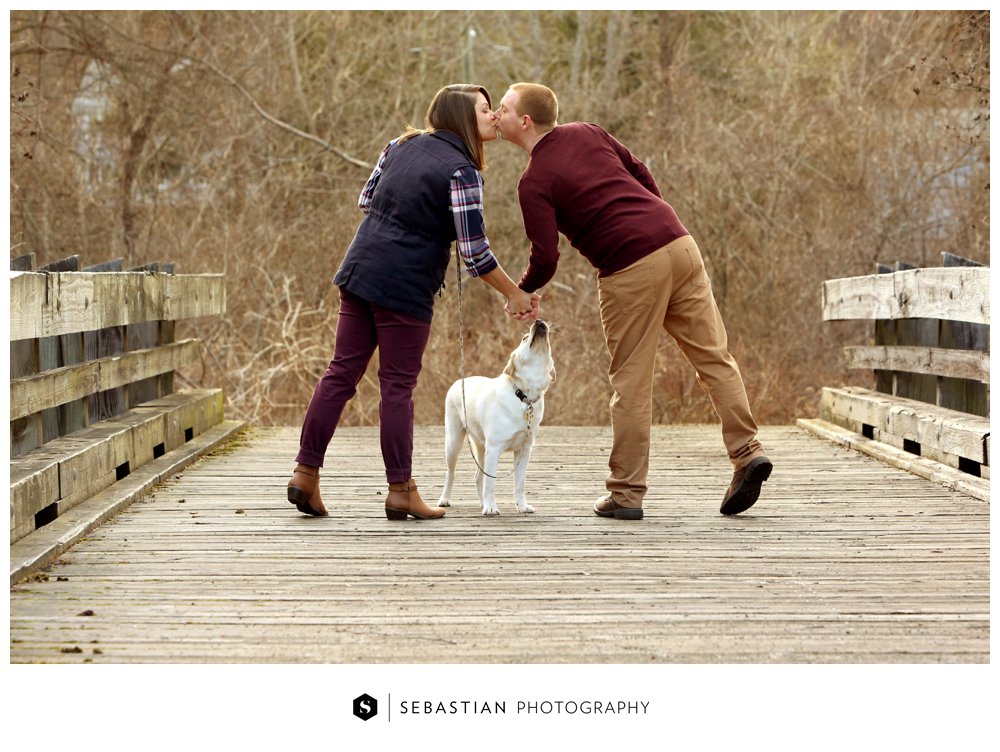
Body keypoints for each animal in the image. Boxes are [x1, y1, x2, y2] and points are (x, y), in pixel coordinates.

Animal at [438, 318, 556, 516]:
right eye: (525, 338)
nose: (538, 321)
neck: (524, 396)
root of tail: (459, 381)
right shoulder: (494, 449)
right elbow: (491, 483)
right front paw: (491, 507)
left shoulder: (524, 450)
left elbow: (519, 483)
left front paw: (522, 506)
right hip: (454, 442)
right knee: (451, 473)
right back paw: (445, 499)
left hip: (481, 447)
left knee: (478, 476)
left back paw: (481, 503)